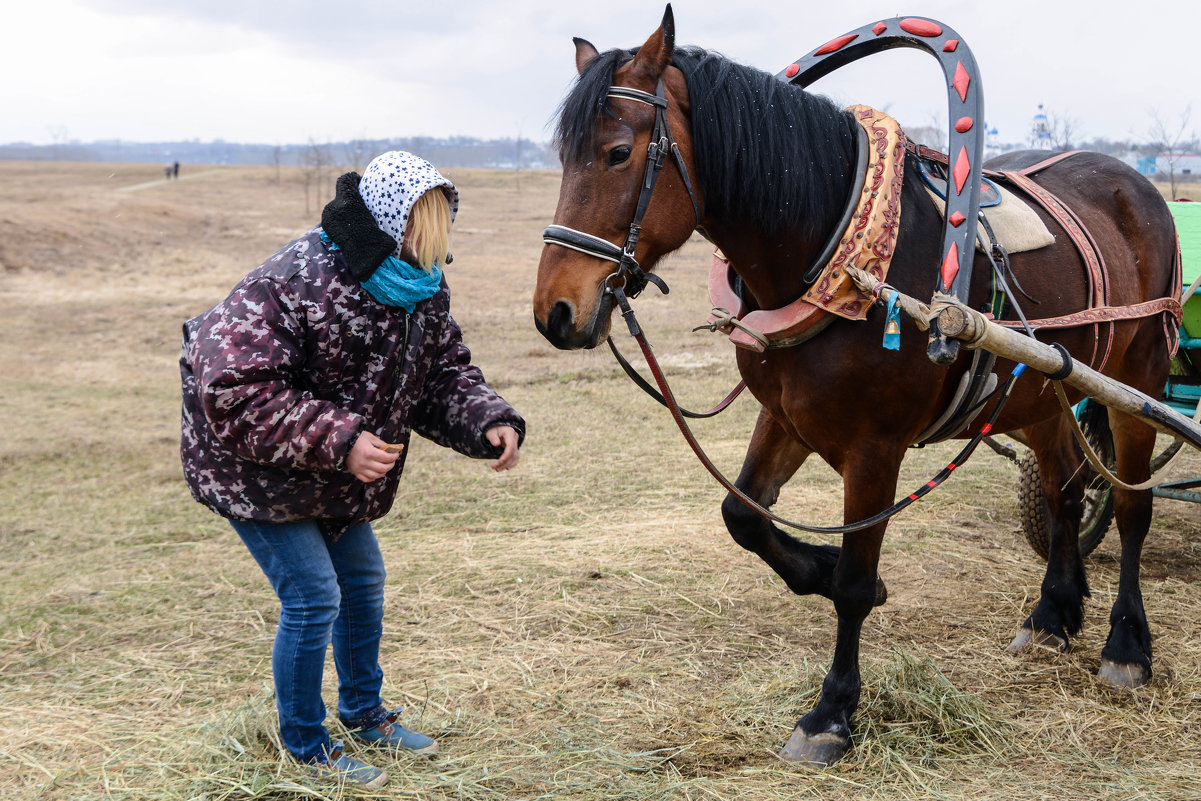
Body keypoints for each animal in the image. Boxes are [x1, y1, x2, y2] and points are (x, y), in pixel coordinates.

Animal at [535, 7, 1181, 768]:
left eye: (616, 153)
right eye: (562, 156)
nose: (555, 313)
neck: (839, 248)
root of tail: (1134, 183)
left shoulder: (875, 448)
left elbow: (850, 580)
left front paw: (832, 710)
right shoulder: (785, 416)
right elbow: (742, 515)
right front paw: (818, 569)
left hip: (1136, 381)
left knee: (1131, 505)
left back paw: (1126, 644)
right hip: (1045, 388)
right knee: (1064, 490)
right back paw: (1054, 611)